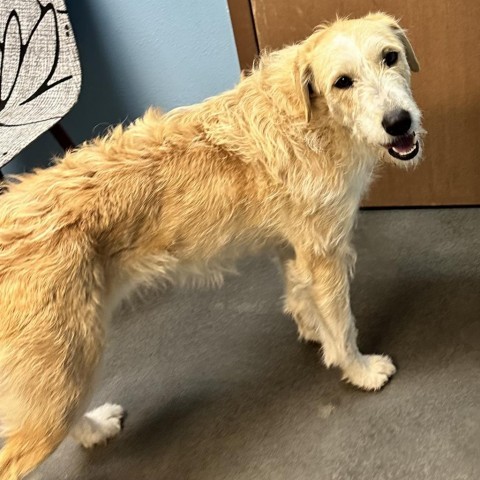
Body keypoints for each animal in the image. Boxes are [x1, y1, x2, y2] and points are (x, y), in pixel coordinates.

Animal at [0, 13, 422, 478]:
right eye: (342, 82)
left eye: (390, 56)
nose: (399, 122)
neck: (311, 117)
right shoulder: (324, 255)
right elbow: (343, 327)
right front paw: (360, 371)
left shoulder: (293, 249)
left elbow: (301, 298)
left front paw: (314, 331)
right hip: (60, 381)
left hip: (61, 381)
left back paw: (97, 429)